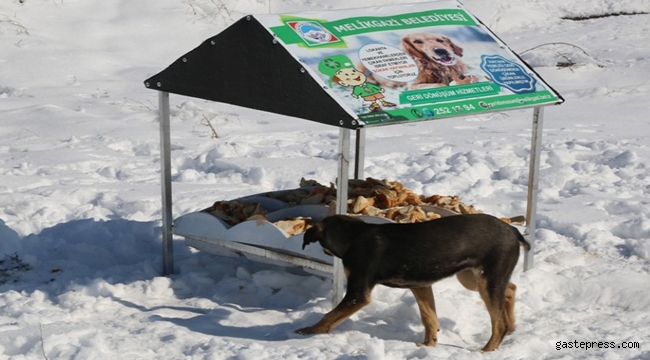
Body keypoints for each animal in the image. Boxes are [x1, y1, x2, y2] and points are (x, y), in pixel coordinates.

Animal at [296, 214, 528, 352]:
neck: (353, 236)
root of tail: (514, 231)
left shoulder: (358, 293)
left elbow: (329, 315)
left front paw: (308, 331)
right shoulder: (420, 285)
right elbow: (429, 318)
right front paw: (428, 345)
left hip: (485, 279)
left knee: (499, 322)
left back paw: (487, 350)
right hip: (472, 278)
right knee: (510, 289)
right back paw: (513, 326)